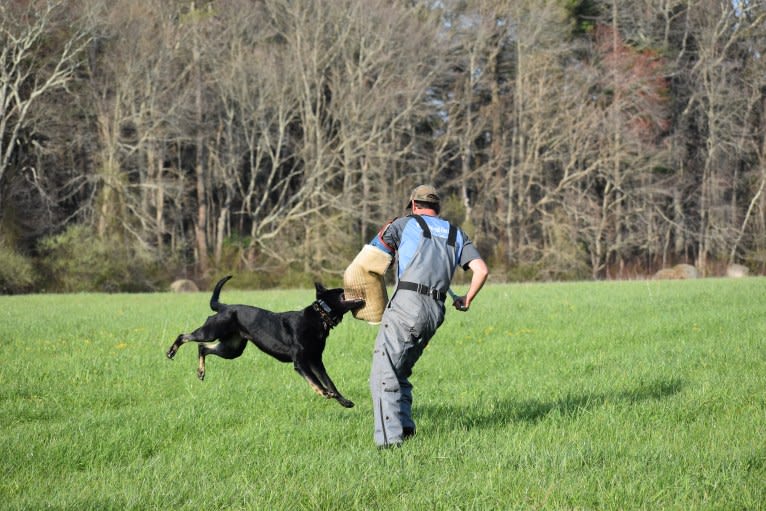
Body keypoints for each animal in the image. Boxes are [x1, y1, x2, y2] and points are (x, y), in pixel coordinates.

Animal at [166, 276, 364, 408]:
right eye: (342, 291)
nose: (358, 287)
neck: (320, 317)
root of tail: (224, 307)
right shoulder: (301, 362)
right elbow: (315, 381)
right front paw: (323, 393)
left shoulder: (316, 361)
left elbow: (330, 382)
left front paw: (344, 401)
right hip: (211, 332)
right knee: (185, 336)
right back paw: (171, 351)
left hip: (232, 349)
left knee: (202, 348)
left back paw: (201, 372)